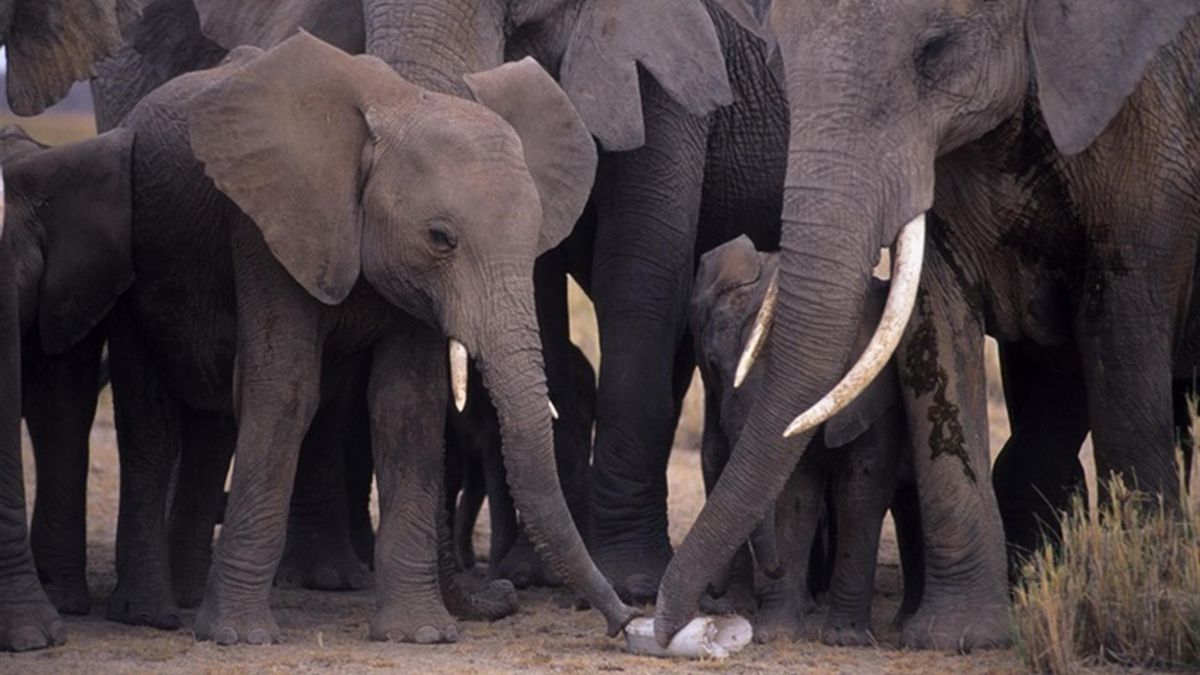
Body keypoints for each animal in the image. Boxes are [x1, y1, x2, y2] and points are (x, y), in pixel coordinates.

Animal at [109, 32, 636, 644]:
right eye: (440, 238)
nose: (625, 620)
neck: (397, 106)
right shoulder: (268, 227)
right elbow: (285, 392)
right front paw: (240, 637)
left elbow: (405, 404)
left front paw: (419, 635)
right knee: (150, 428)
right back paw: (152, 613)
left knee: (211, 429)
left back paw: (187, 599)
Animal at [193, 0, 790, 602]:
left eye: (515, 8)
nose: (498, 594)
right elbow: (541, 289)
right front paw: (531, 575)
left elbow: (638, 268)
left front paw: (634, 584)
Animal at [690, 236, 922, 646]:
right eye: (714, 366)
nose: (712, 595)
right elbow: (794, 494)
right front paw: (779, 633)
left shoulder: (879, 399)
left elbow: (861, 492)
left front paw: (844, 639)